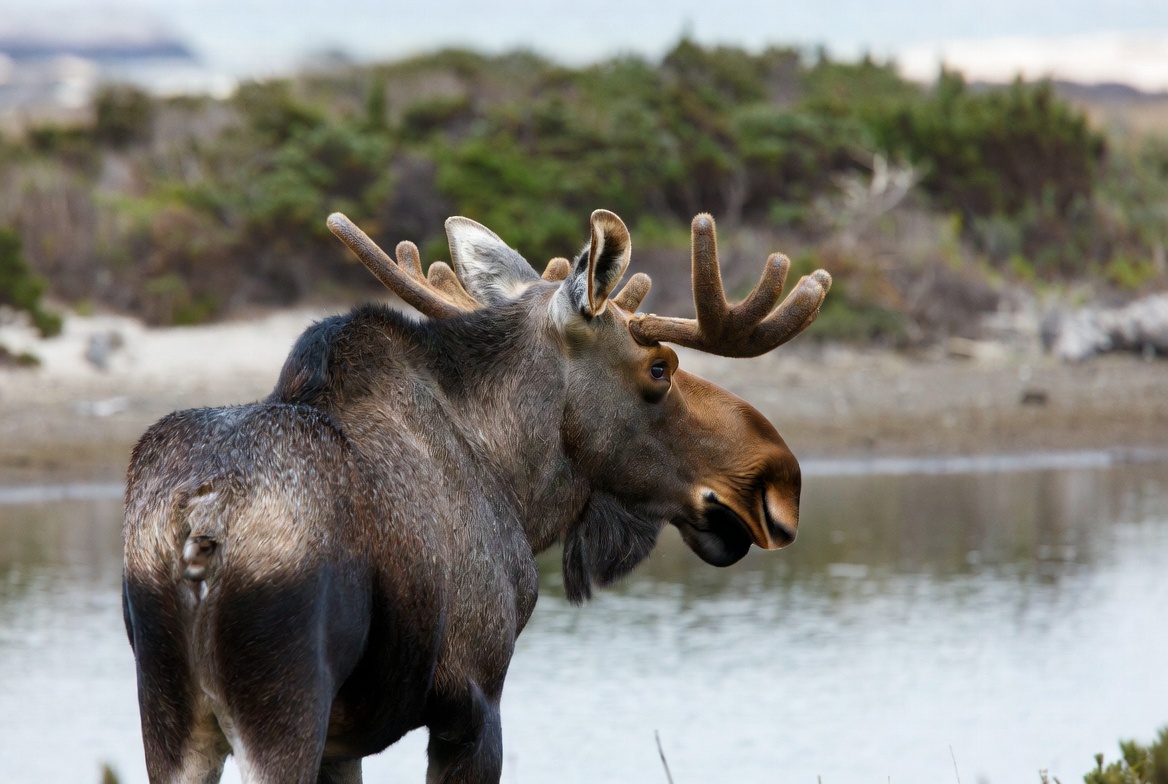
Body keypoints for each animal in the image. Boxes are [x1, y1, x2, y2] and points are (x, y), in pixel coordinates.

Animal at [122, 208, 831, 784]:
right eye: (660, 367)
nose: (776, 477)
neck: (517, 487)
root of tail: (200, 529)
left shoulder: (342, 745)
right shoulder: (473, 702)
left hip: (173, 722)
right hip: (283, 711)